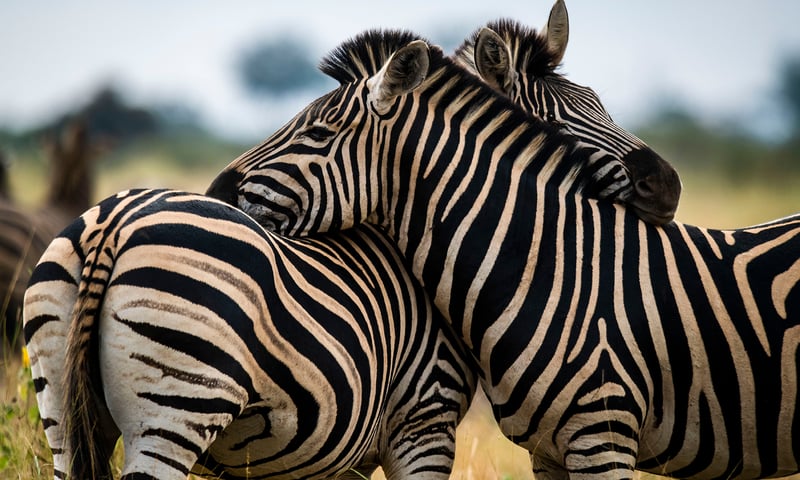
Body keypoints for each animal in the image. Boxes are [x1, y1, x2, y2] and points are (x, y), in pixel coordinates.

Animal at [206, 29, 800, 479]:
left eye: (318, 132)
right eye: (562, 124)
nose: (669, 186)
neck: (549, 266)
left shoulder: (600, 431)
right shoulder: (553, 447)